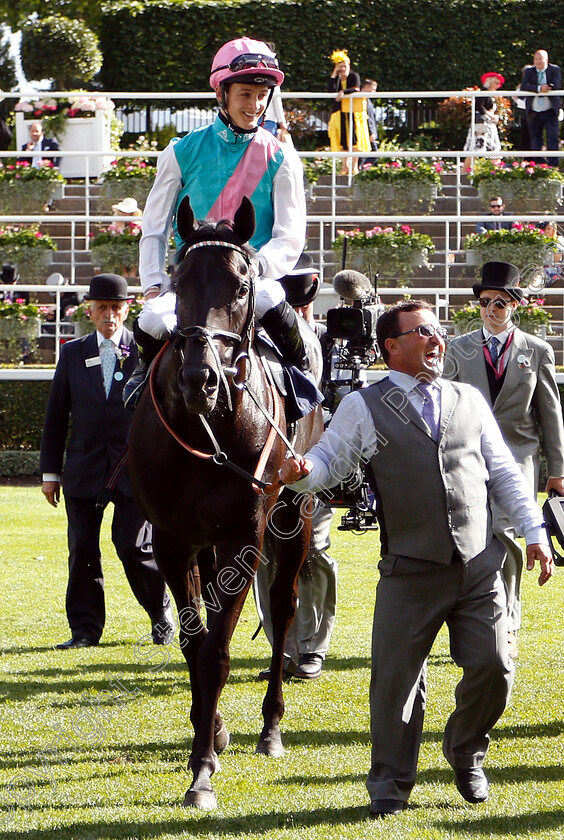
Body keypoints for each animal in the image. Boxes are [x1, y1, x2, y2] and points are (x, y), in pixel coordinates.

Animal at [128, 195, 322, 808]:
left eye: (240, 285)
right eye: (177, 280)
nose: (199, 377)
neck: (205, 428)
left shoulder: (244, 536)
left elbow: (216, 650)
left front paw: (203, 774)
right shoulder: (174, 539)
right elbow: (195, 643)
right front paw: (207, 732)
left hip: (294, 516)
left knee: (283, 609)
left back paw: (271, 728)